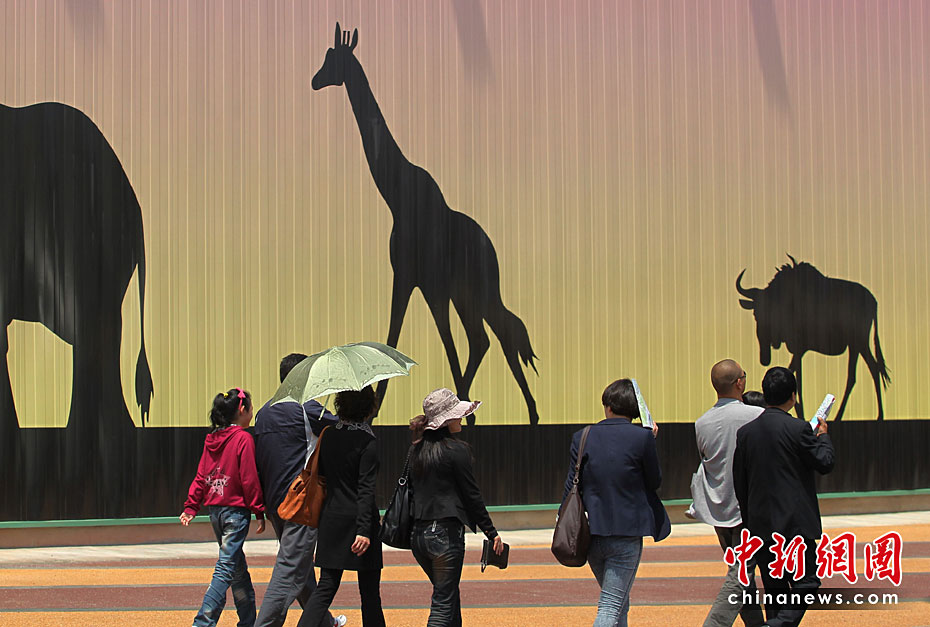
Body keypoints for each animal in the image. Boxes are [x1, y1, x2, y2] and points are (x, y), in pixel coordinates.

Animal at [312, 24, 539, 425]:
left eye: (332, 58)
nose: (313, 80)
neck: (400, 199)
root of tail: (490, 245)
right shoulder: (406, 276)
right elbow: (394, 338)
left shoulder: (430, 283)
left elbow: (442, 343)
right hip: (467, 293)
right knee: (487, 336)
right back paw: (520, 412)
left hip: (475, 289)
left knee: (496, 333)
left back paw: (525, 412)